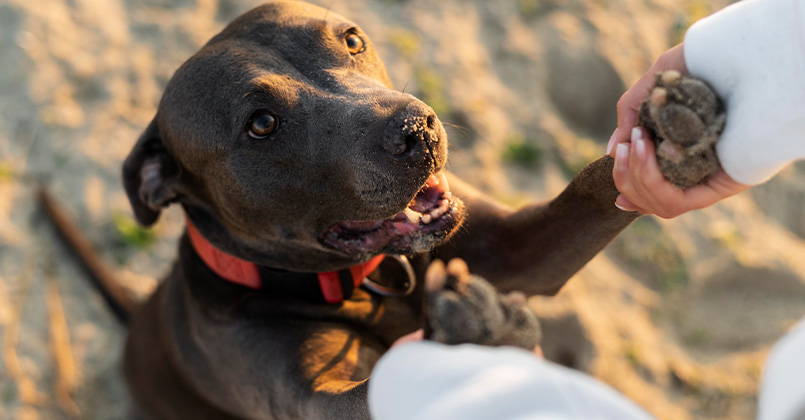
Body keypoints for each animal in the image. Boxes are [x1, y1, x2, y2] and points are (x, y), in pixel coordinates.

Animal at [100, 1, 640, 418]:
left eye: (353, 40)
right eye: (261, 124)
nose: (417, 129)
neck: (362, 281)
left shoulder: (513, 247)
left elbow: (592, 188)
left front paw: (658, 131)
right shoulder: (314, 396)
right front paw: (471, 338)